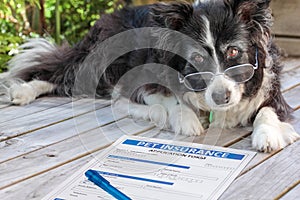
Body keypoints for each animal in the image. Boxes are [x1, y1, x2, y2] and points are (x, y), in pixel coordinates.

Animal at [1, 0, 298, 152]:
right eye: (197, 58)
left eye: (234, 51)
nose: (221, 97)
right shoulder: (143, 77)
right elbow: (169, 98)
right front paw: (186, 118)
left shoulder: (272, 91)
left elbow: (267, 110)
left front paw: (267, 134)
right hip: (99, 60)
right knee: (62, 72)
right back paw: (23, 91)